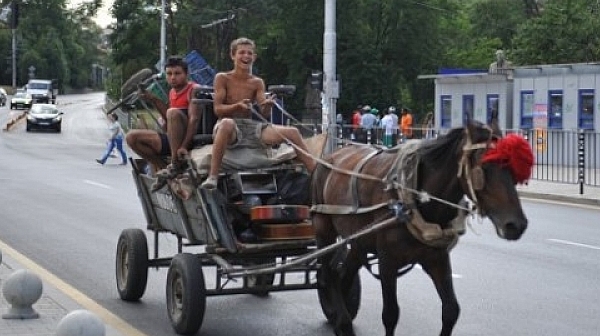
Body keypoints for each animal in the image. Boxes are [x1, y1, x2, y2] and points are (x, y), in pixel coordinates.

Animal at [312, 119, 532, 336]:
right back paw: (343, 321)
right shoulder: (387, 262)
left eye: (512, 169)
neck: (412, 199)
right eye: (483, 168)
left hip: (360, 240)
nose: (516, 224)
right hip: (324, 229)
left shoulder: (437, 258)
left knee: (343, 274)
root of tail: (330, 157)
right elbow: (390, 314)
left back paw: (340, 318)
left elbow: (451, 310)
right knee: (328, 275)